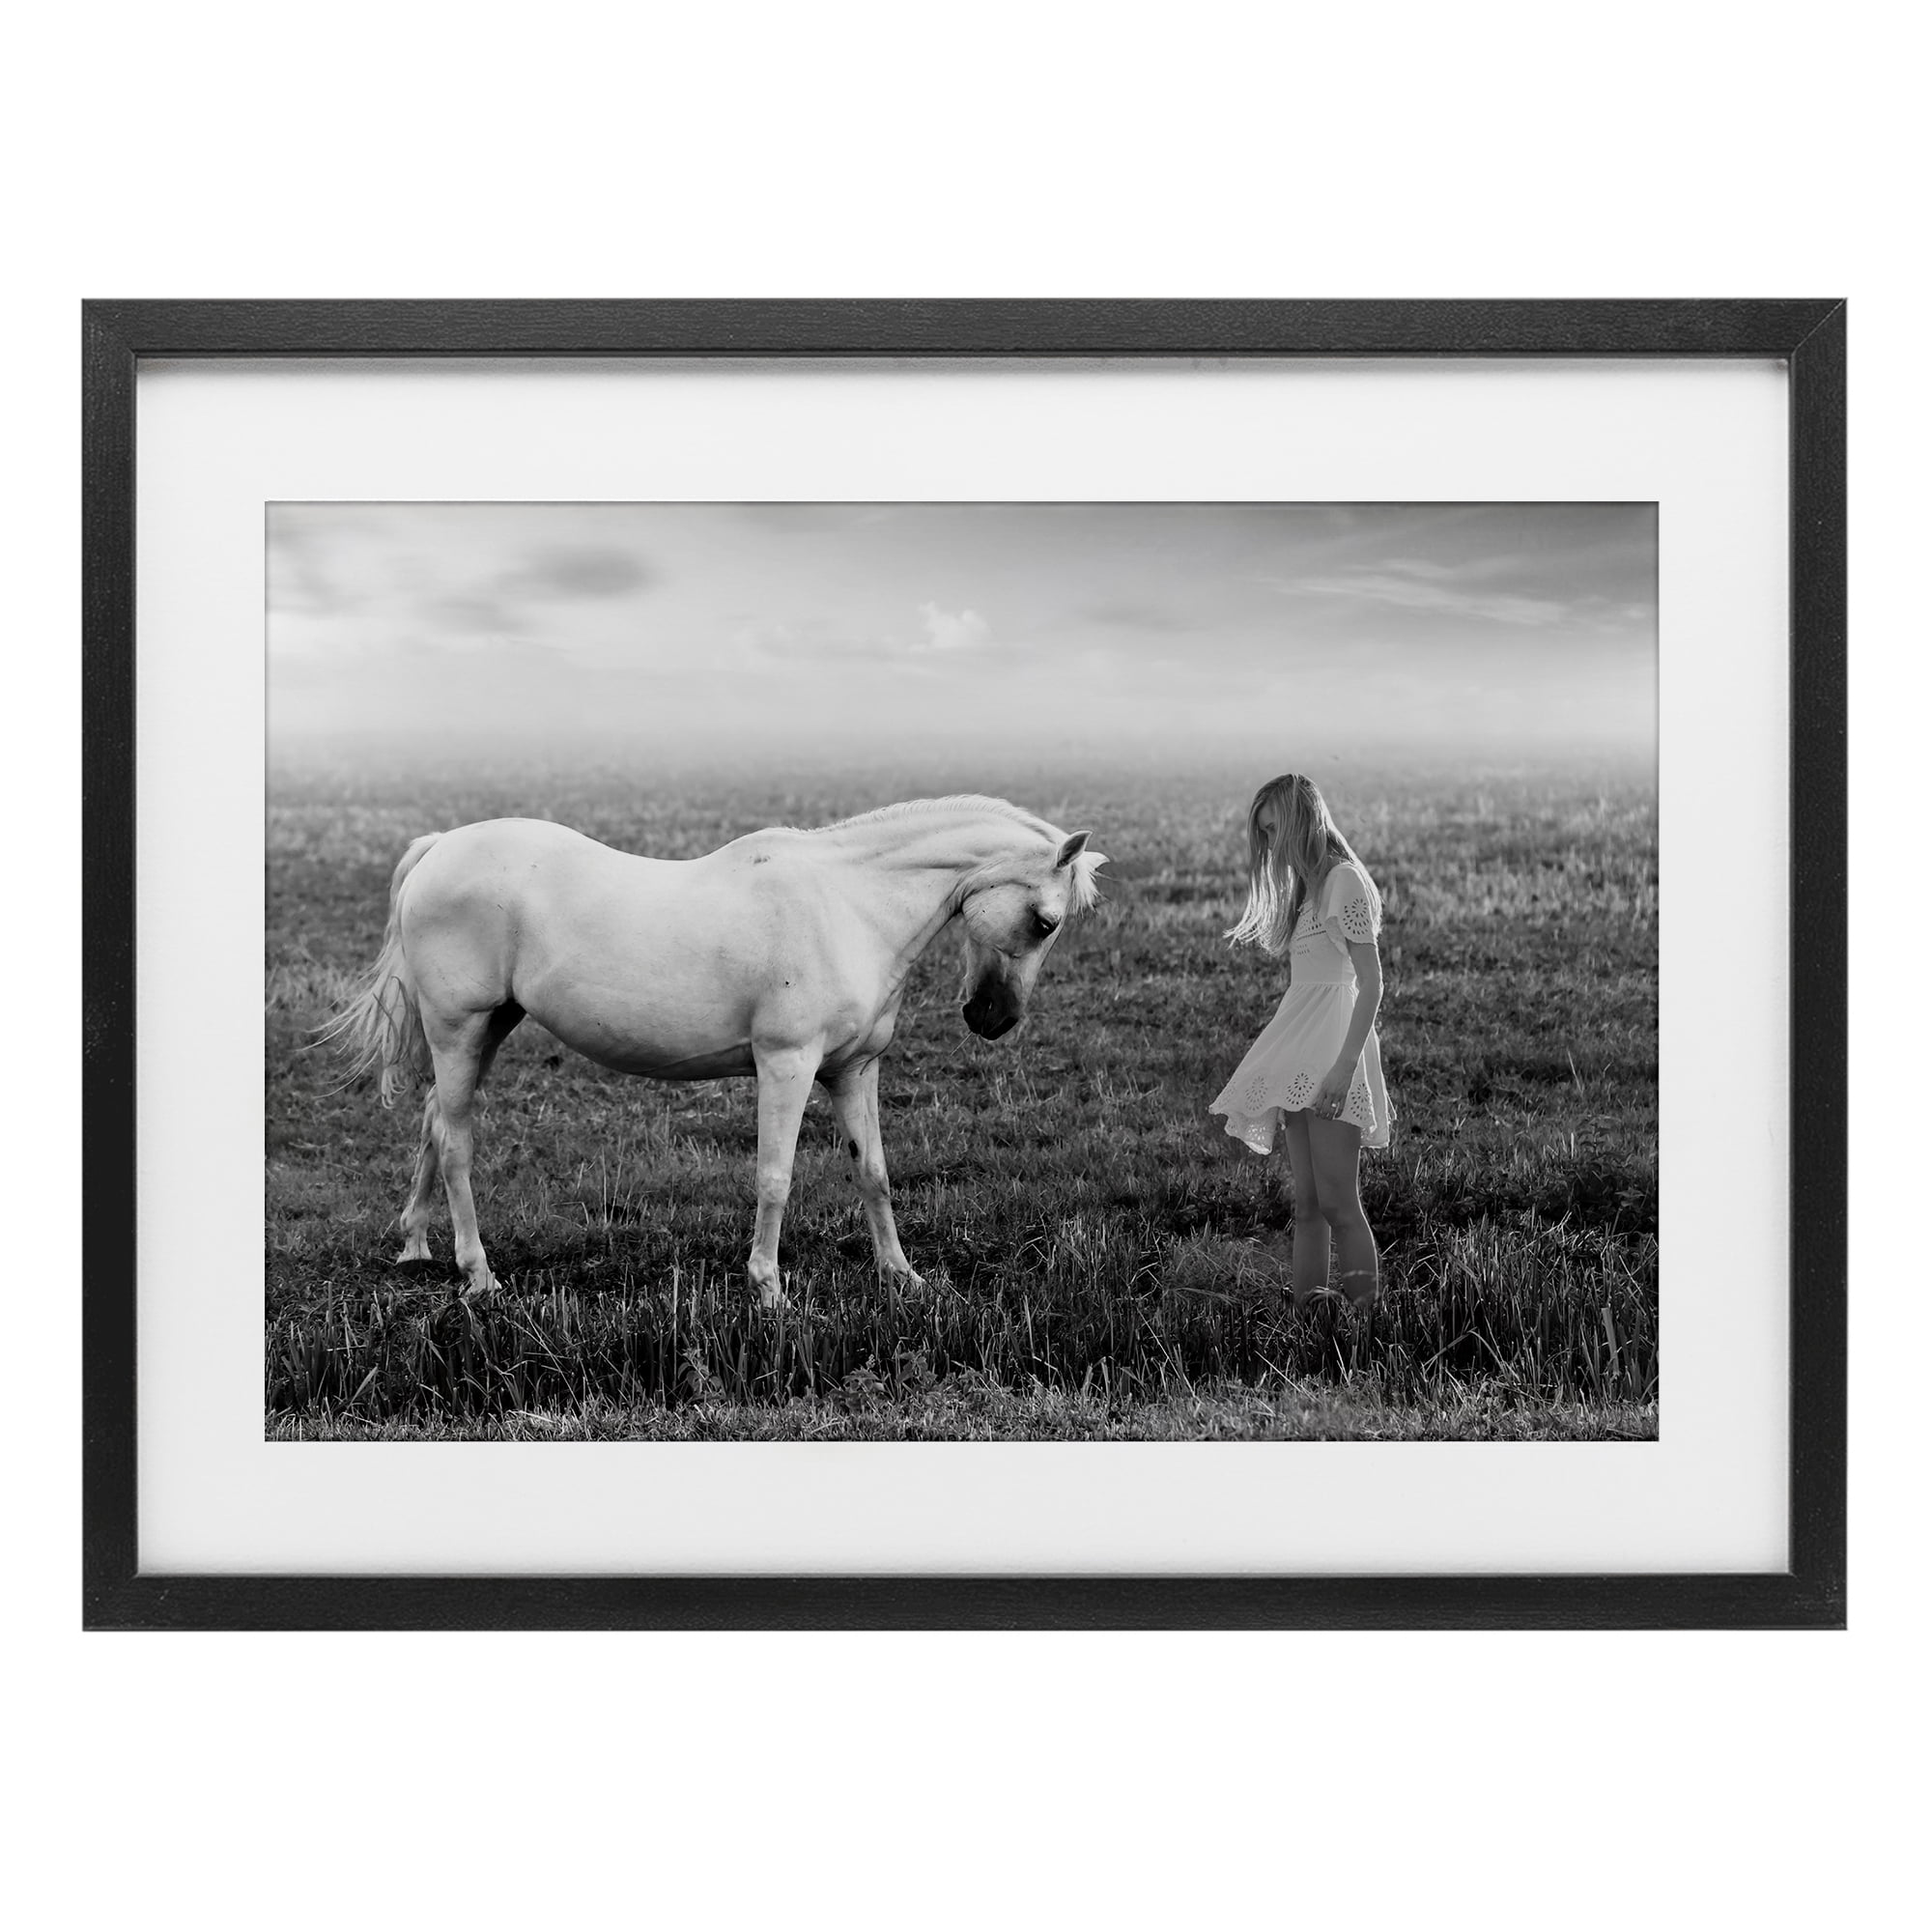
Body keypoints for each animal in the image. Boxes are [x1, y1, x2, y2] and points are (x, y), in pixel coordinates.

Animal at [320, 796, 1106, 1306]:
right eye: (1045, 921)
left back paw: (416, 1246)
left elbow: (874, 1173)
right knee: (455, 1141)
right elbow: (775, 1178)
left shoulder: (853, 1071)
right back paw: (478, 1273)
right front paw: (769, 1289)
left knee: (433, 1120)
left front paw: (902, 1277)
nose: (994, 1019)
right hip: (459, 1028)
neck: (848, 905)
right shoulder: (786, 1065)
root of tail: (440, 847)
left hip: (488, 1028)